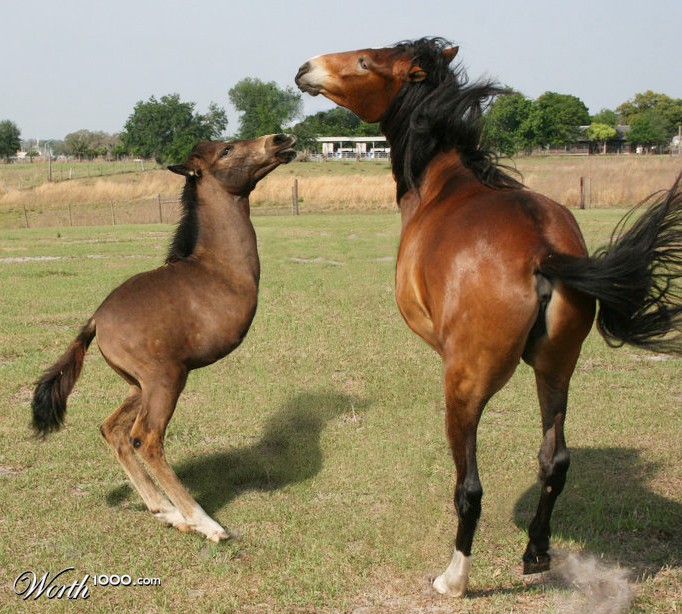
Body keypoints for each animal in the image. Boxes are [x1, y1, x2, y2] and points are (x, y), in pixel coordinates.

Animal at [31, 134, 297, 542]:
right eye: (227, 150)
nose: (281, 139)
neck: (219, 267)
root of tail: (97, 321)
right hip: (166, 381)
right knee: (145, 437)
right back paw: (203, 522)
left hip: (138, 387)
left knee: (112, 430)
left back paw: (166, 511)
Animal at [296, 37, 682, 596]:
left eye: (366, 62)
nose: (307, 68)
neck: (444, 182)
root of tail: (542, 248)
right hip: (556, 371)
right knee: (554, 461)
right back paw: (537, 552)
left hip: (465, 386)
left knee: (470, 487)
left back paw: (454, 577)